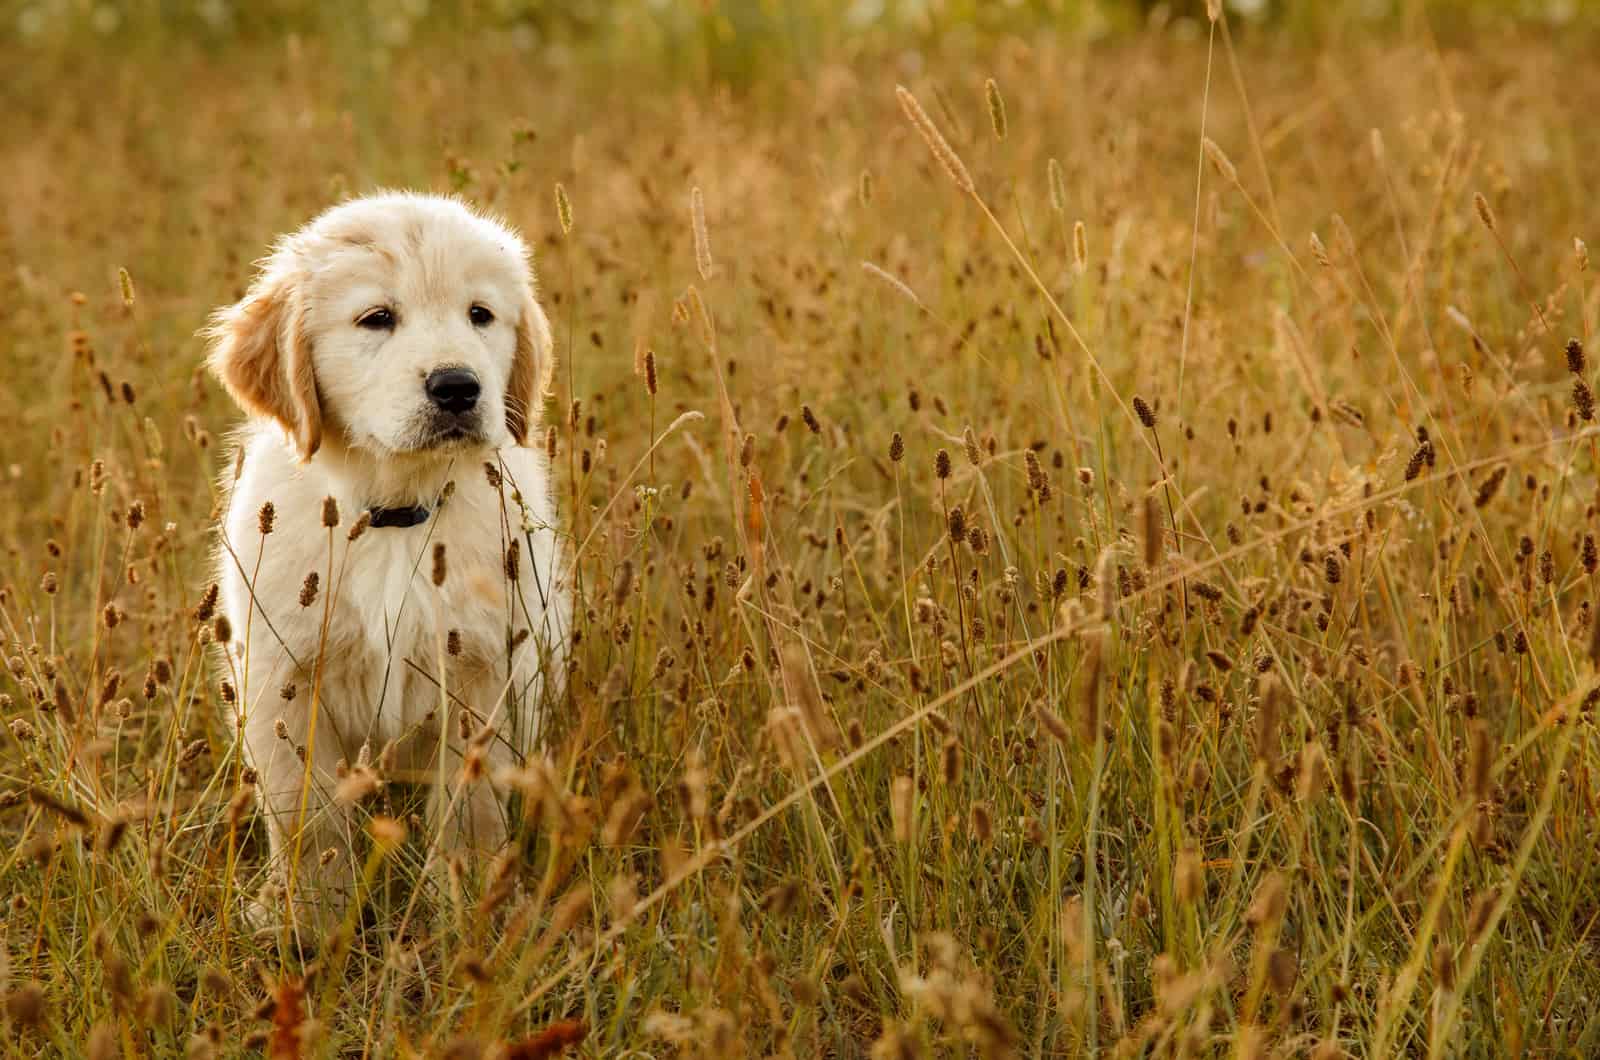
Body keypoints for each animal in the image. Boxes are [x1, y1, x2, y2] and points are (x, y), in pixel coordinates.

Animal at [204, 191, 569, 928]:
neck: (395, 510)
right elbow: (305, 809)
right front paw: (307, 915)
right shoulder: (284, 676)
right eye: (377, 318)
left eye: (480, 315)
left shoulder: (482, 672)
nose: (457, 386)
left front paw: (468, 904)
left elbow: (471, 806)